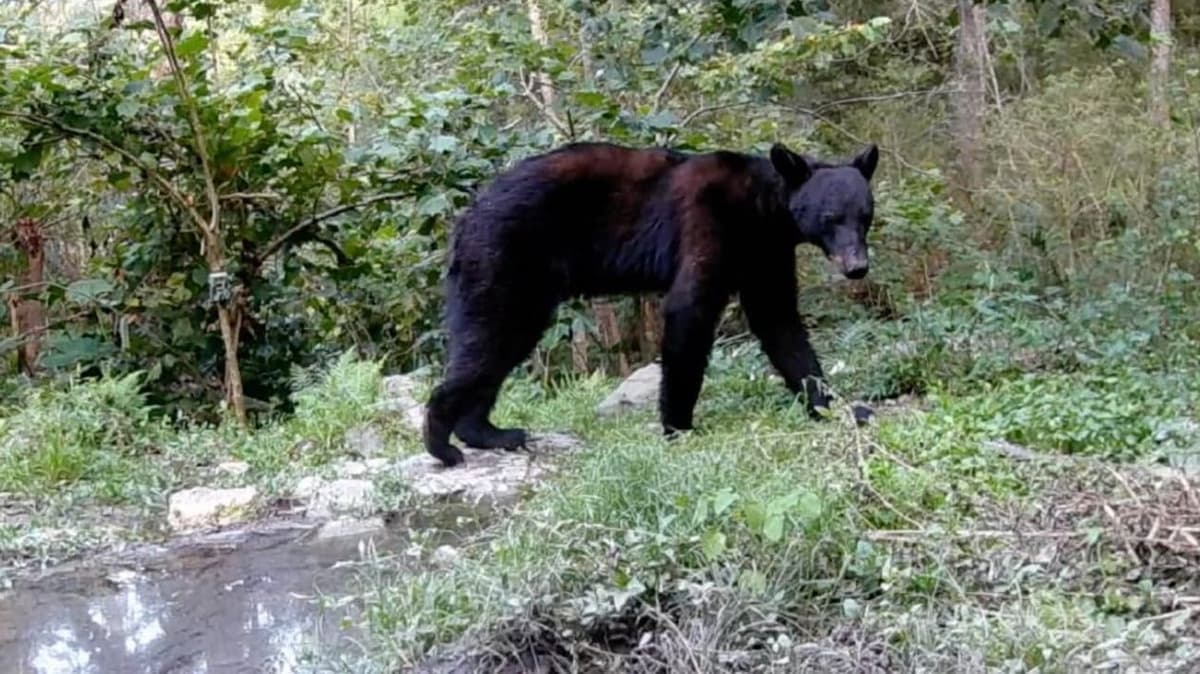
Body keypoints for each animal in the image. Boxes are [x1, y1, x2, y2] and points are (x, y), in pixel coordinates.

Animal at [423, 140, 879, 467]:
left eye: (865, 215)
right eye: (831, 217)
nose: (857, 267)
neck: (760, 208)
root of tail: (464, 219)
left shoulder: (764, 255)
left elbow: (780, 322)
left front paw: (839, 407)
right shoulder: (708, 225)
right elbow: (689, 312)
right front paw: (679, 425)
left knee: (496, 348)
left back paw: (489, 432)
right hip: (506, 261)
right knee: (489, 338)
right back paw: (443, 444)